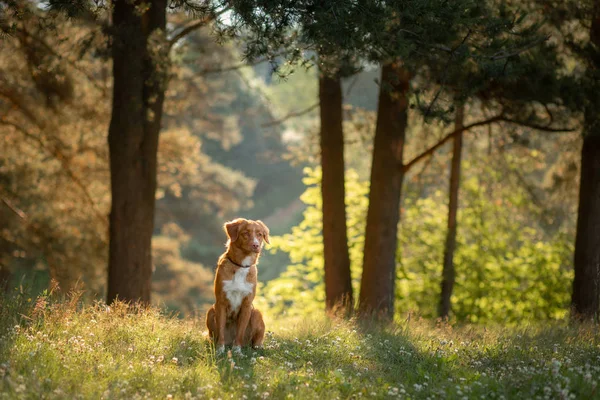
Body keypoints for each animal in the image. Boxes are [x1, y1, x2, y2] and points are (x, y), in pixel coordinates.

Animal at [207, 219, 270, 354]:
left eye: (260, 234)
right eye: (245, 233)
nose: (256, 245)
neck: (241, 266)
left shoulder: (247, 304)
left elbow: (240, 332)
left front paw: (237, 351)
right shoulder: (221, 302)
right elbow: (220, 329)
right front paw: (220, 350)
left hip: (256, 312)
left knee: (255, 341)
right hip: (211, 311)